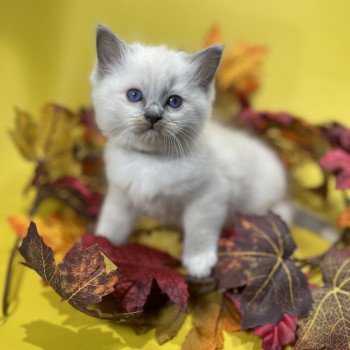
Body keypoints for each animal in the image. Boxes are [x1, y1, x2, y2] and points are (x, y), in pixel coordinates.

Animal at [91, 24, 292, 278]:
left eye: (174, 101)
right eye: (134, 95)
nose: (153, 116)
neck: (151, 161)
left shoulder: (208, 196)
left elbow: (199, 232)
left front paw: (199, 263)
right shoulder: (121, 197)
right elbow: (111, 227)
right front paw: (99, 249)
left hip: (260, 205)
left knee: (284, 213)